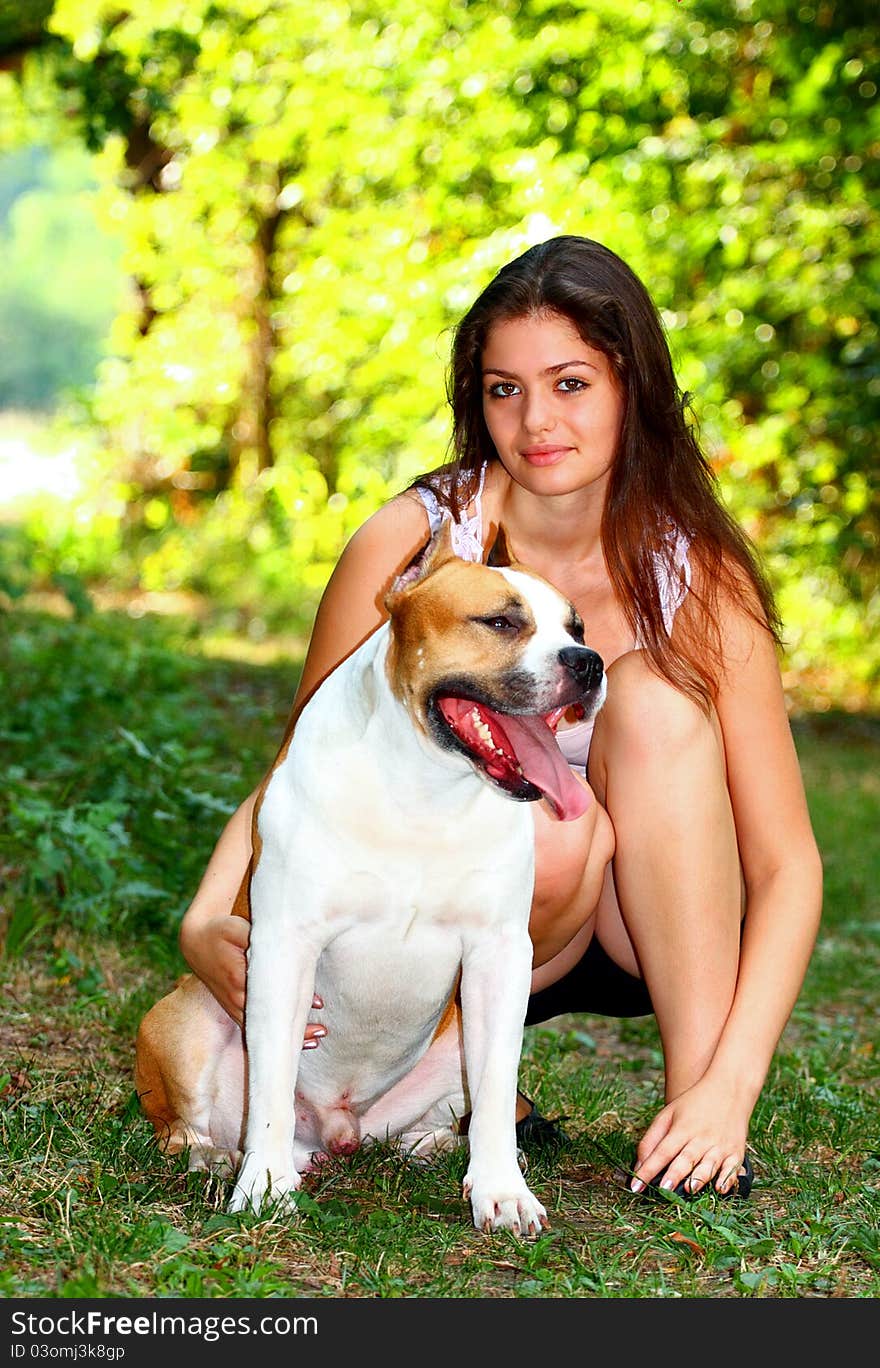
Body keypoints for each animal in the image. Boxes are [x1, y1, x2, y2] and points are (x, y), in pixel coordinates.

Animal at [136, 517, 604, 1236]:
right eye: (500, 622)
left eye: (577, 627)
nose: (588, 662)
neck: (425, 787)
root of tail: (335, 1131)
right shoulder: (284, 947)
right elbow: (270, 1089)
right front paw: (263, 1187)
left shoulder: (499, 958)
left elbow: (497, 1090)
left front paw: (501, 1190)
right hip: (186, 1012)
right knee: (185, 1123)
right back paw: (213, 1156)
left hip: (452, 1040)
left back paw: (435, 1146)